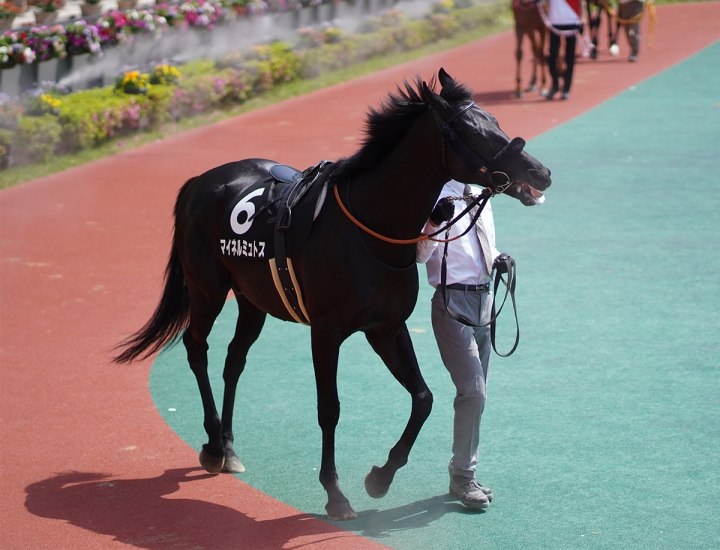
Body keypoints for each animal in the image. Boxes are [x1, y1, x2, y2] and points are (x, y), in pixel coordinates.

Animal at [115, 69, 552, 520]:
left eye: (495, 121)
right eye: (472, 131)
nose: (541, 173)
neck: (369, 227)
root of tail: (199, 181)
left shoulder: (386, 328)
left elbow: (423, 397)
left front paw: (380, 478)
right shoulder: (325, 332)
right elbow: (330, 408)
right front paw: (335, 493)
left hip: (252, 299)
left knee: (234, 360)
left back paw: (231, 447)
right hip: (208, 290)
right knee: (196, 347)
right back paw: (215, 445)